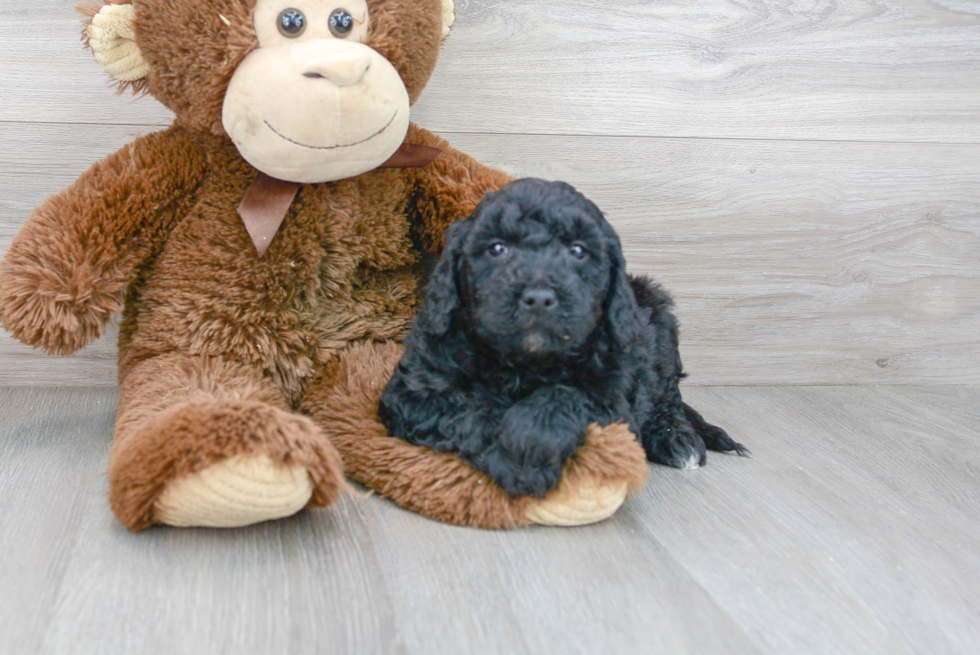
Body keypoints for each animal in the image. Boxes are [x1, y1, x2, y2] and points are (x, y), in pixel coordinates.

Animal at [378, 179, 748, 498]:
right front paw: (519, 462)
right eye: (497, 248)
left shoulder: (614, 399)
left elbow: (567, 396)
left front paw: (530, 444)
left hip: (659, 317)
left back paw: (676, 439)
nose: (539, 298)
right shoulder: (415, 392)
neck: (524, 362)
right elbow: (471, 411)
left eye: (578, 251)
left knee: (668, 398)